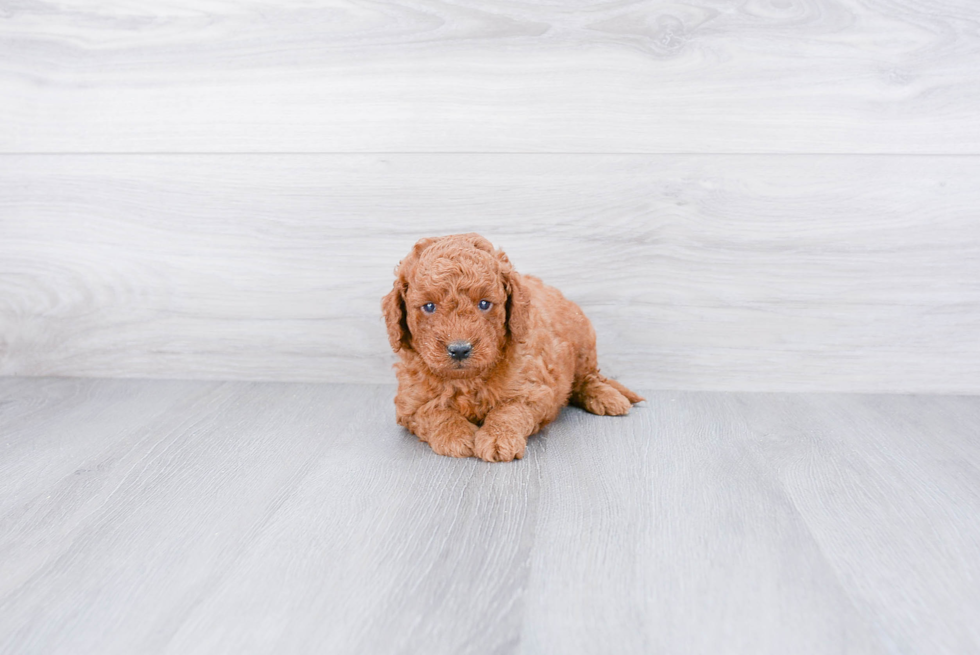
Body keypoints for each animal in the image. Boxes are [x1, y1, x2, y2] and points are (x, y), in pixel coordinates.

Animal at [380, 233, 644, 464]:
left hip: (583, 344)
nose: (459, 349)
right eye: (429, 306)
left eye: (484, 304)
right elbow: (433, 412)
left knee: (586, 379)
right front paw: (456, 435)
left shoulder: (532, 389)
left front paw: (499, 439)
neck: (467, 379)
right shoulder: (409, 402)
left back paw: (608, 397)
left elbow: (509, 410)